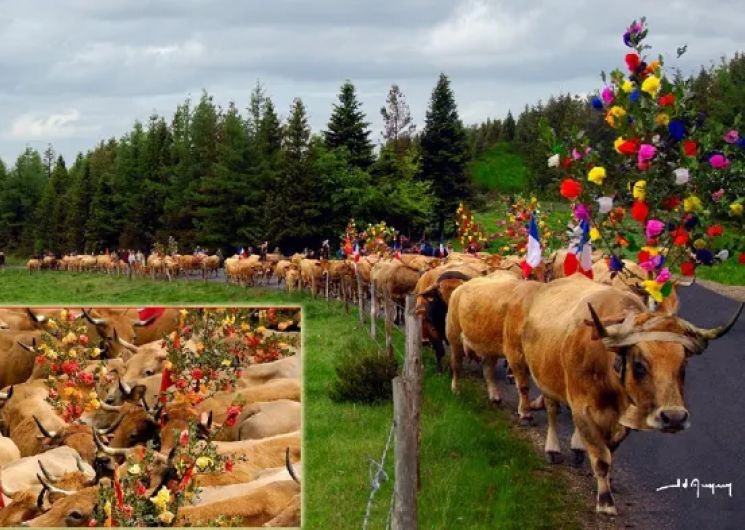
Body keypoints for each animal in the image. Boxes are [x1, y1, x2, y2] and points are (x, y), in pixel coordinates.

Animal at [502, 274, 740, 512]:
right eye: (639, 366)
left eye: (683, 366)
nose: (674, 418)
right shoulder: (581, 407)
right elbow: (601, 457)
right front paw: (605, 500)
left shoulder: (624, 418)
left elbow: (609, 451)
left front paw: (608, 481)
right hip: (539, 374)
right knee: (548, 407)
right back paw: (549, 445)